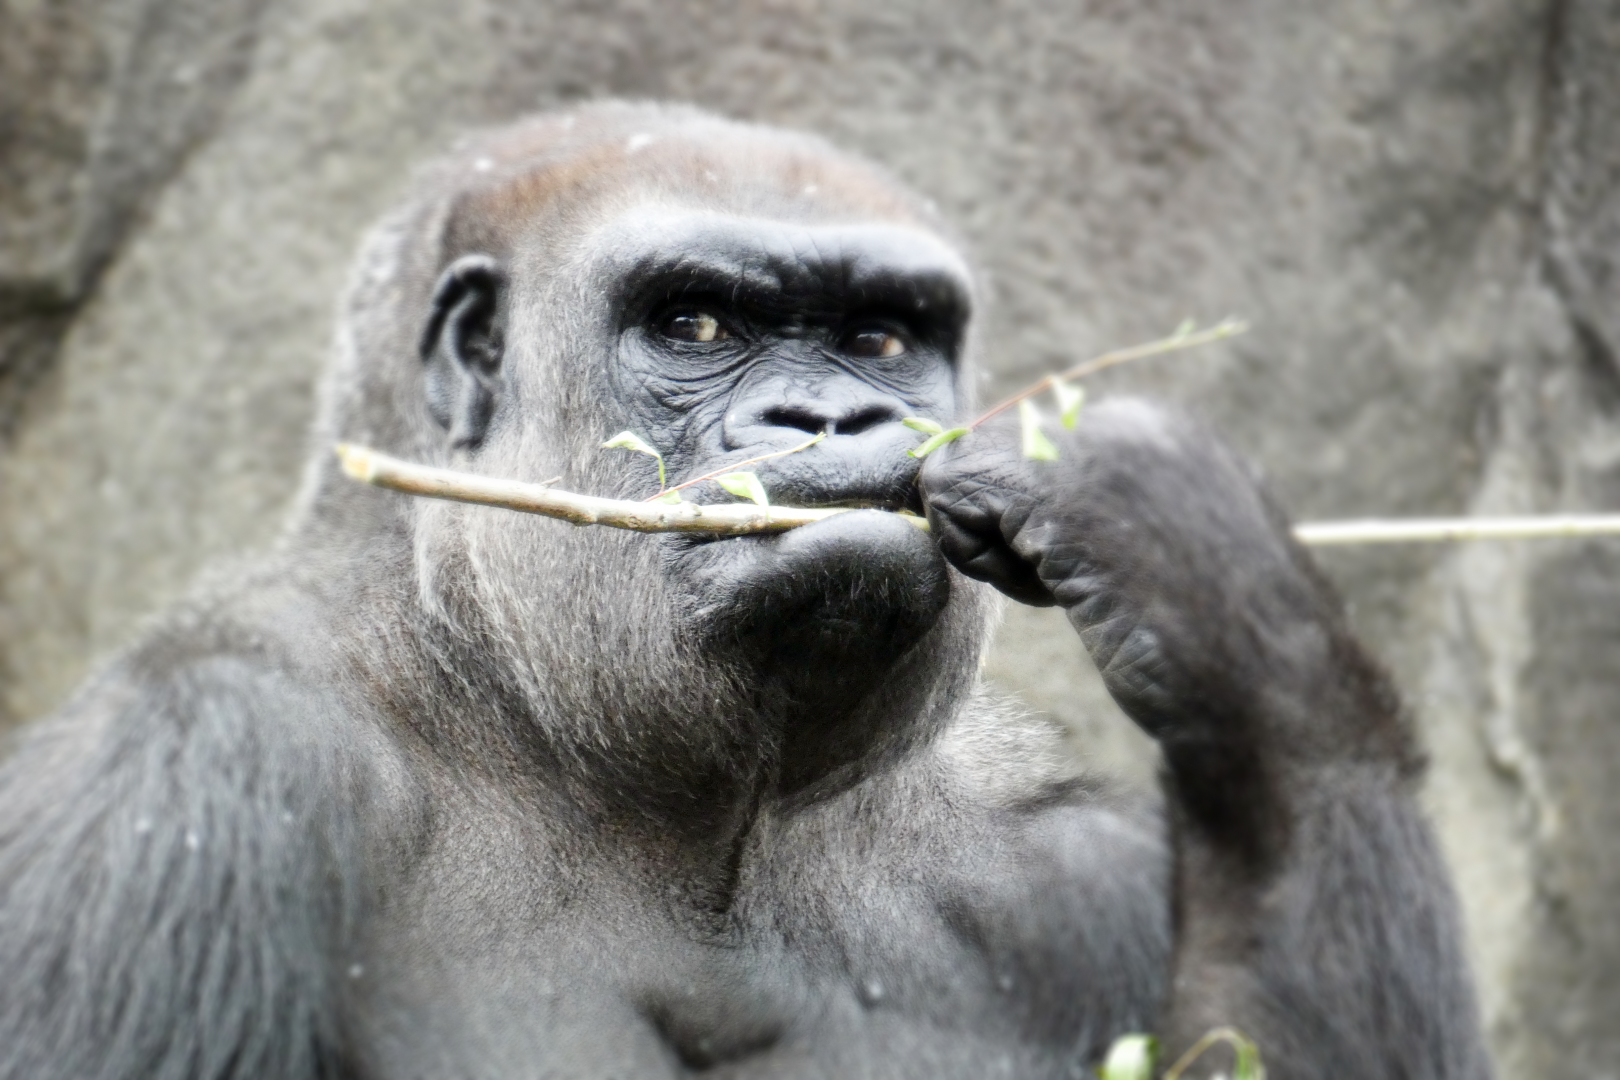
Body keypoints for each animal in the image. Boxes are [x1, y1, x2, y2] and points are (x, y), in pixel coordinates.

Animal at [0, 101, 1492, 1079]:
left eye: (882, 339)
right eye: (696, 322)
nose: (830, 420)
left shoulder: (1078, 877)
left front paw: (1232, 622)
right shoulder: (191, 773)